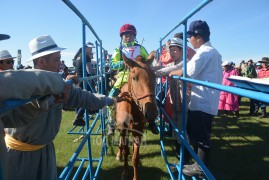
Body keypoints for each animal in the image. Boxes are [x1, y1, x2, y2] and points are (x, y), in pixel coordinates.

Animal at [114, 51, 157, 180]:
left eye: (155, 77)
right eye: (134, 78)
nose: (151, 112)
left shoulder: (138, 132)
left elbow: (135, 157)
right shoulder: (123, 129)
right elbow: (125, 150)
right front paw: (124, 172)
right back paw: (118, 154)